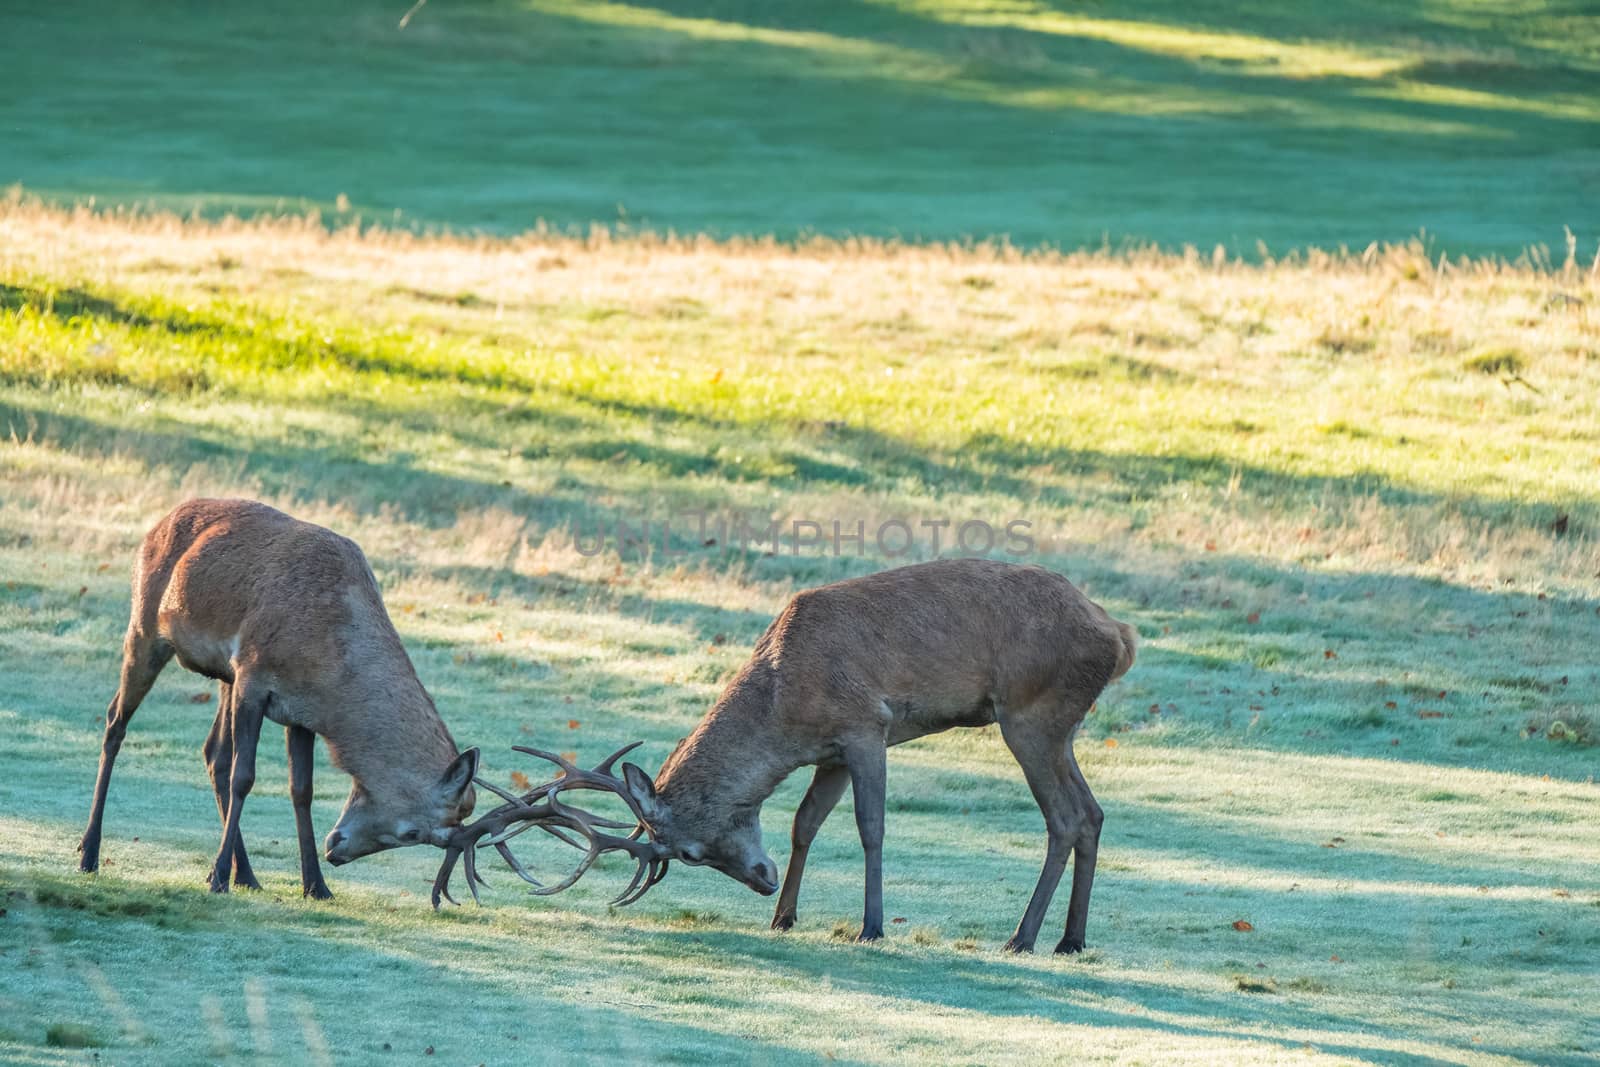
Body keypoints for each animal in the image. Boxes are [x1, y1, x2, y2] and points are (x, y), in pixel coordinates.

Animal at [76, 495, 473, 895]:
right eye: (412, 833)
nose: (336, 853)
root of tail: (159, 523)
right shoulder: (253, 677)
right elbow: (244, 777)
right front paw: (217, 877)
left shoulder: (300, 713)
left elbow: (302, 790)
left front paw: (316, 885)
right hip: (145, 631)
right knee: (115, 722)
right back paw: (89, 852)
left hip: (224, 675)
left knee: (213, 753)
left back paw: (247, 875)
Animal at [604, 559, 1132, 953]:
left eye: (689, 854)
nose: (762, 880)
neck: (783, 714)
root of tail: (1120, 636)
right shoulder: (831, 753)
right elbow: (805, 822)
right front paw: (783, 917)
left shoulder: (866, 725)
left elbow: (870, 826)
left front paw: (871, 926)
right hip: (1061, 729)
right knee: (1092, 812)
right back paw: (1071, 939)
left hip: (1029, 716)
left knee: (1064, 818)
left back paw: (1022, 937)